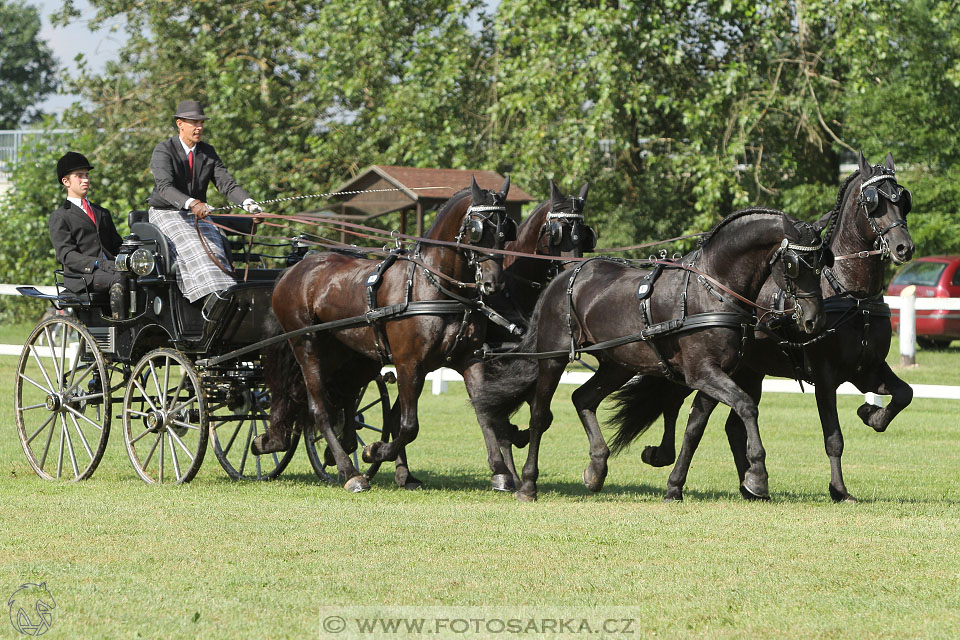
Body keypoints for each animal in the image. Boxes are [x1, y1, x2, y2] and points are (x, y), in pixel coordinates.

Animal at [262, 175, 516, 490]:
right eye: (477, 229)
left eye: (506, 231)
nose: (494, 283)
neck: (433, 286)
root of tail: (294, 270)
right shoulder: (409, 365)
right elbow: (408, 425)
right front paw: (375, 451)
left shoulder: (470, 359)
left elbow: (484, 412)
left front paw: (500, 471)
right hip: (307, 347)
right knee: (319, 407)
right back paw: (350, 471)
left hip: (351, 356)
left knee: (342, 397)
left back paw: (334, 450)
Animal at [472, 209, 824, 500]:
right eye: (794, 264)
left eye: (823, 263)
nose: (811, 319)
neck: (712, 290)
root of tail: (564, 277)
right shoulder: (704, 373)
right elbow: (747, 406)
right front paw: (757, 477)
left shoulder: (715, 375)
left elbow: (694, 429)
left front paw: (674, 487)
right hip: (554, 358)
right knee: (539, 416)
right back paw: (528, 485)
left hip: (617, 364)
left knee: (583, 399)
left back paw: (596, 469)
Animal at [608, 150, 916, 500]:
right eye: (872, 201)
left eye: (903, 199)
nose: (904, 247)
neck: (852, 295)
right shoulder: (825, 377)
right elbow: (833, 438)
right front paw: (839, 489)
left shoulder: (867, 369)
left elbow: (904, 393)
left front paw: (872, 415)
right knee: (677, 406)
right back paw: (667, 458)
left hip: (748, 372)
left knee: (725, 424)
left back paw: (749, 483)